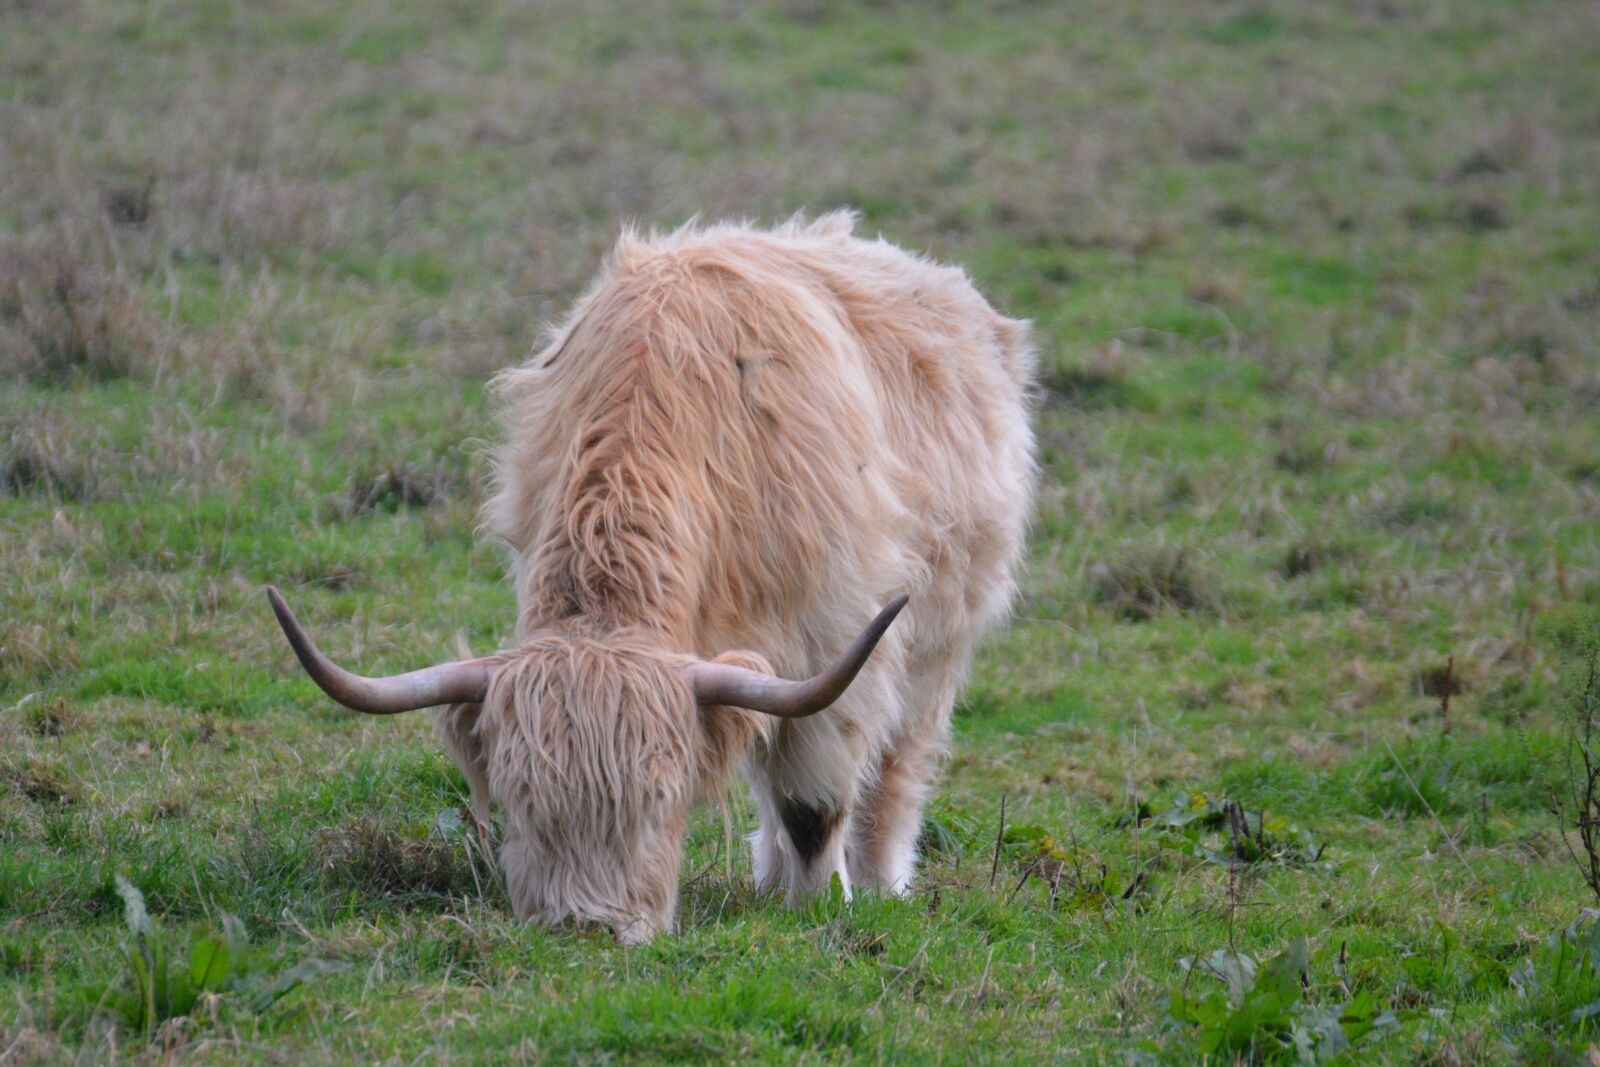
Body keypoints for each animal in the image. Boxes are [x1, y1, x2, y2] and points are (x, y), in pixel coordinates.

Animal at [269, 212, 1036, 942]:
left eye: (662, 797)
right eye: (519, 799)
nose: (589, 926)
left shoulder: (838, 632)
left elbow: (814, 802)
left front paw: (824, 907)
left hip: (941, 632)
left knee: (898, 762)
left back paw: (879, 881)